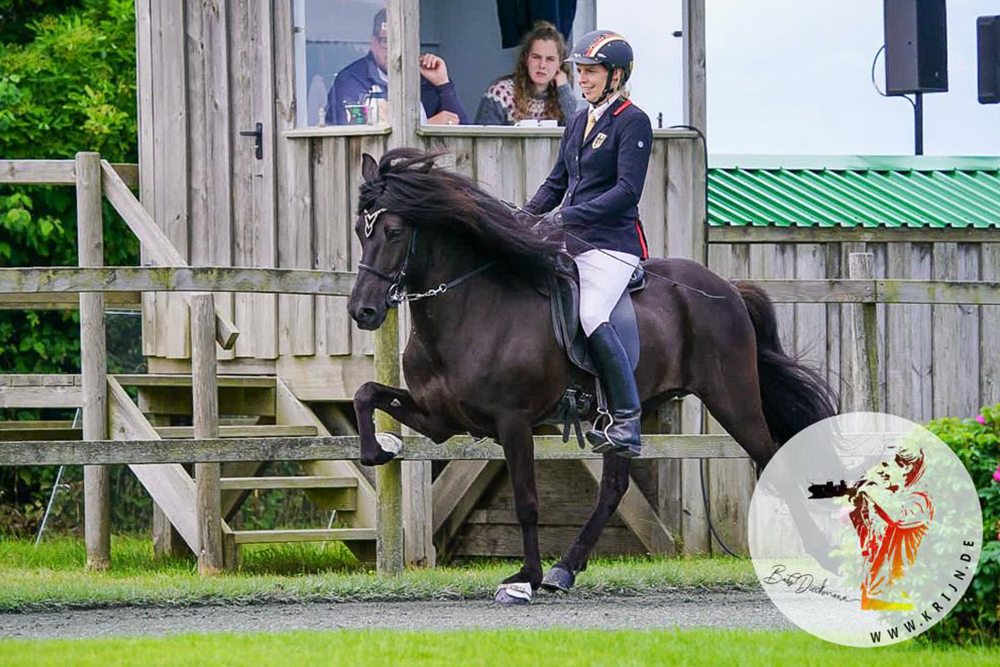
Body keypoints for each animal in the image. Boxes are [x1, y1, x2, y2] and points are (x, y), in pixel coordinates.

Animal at [348, 147, 840, 604]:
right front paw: (381, 448)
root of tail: (727, 288)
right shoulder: (440, 420)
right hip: (628, 415)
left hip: (732, 398)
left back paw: (824, 556)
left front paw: (524, 579)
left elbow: (527, 500)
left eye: (393, 232)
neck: (471, 309)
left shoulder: (513, 422)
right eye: (359, 232)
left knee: (771, 458)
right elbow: (365, 393)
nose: (362, 311)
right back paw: (564, 570)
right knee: (614, 487)